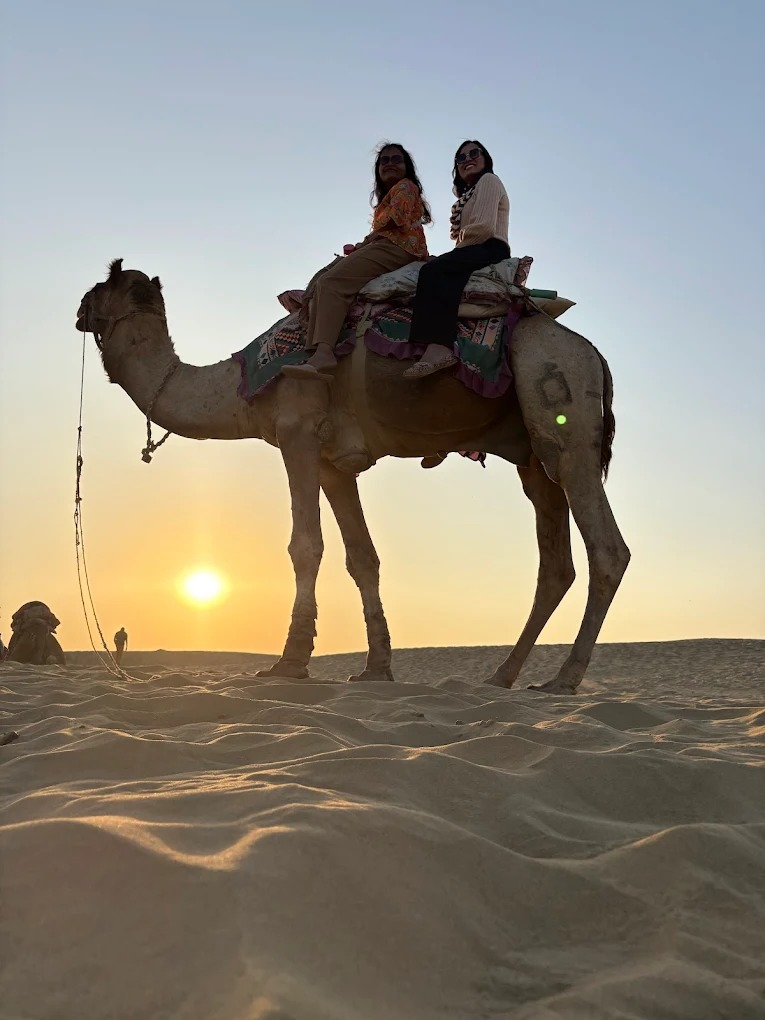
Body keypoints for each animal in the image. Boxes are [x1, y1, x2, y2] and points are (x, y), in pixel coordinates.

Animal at [75, 259, 629, 693]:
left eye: (100, 286)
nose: (78, 309)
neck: (238, 389)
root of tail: (594, 354)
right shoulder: (332, 462)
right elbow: (363, 557)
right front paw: (376, 669)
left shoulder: (296, 432)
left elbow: (305, 545)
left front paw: (289, 664)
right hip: (533, 454)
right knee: (554, 562)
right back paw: (503, 675)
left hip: (560, 400)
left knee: (608, 548)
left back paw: (564, 679)